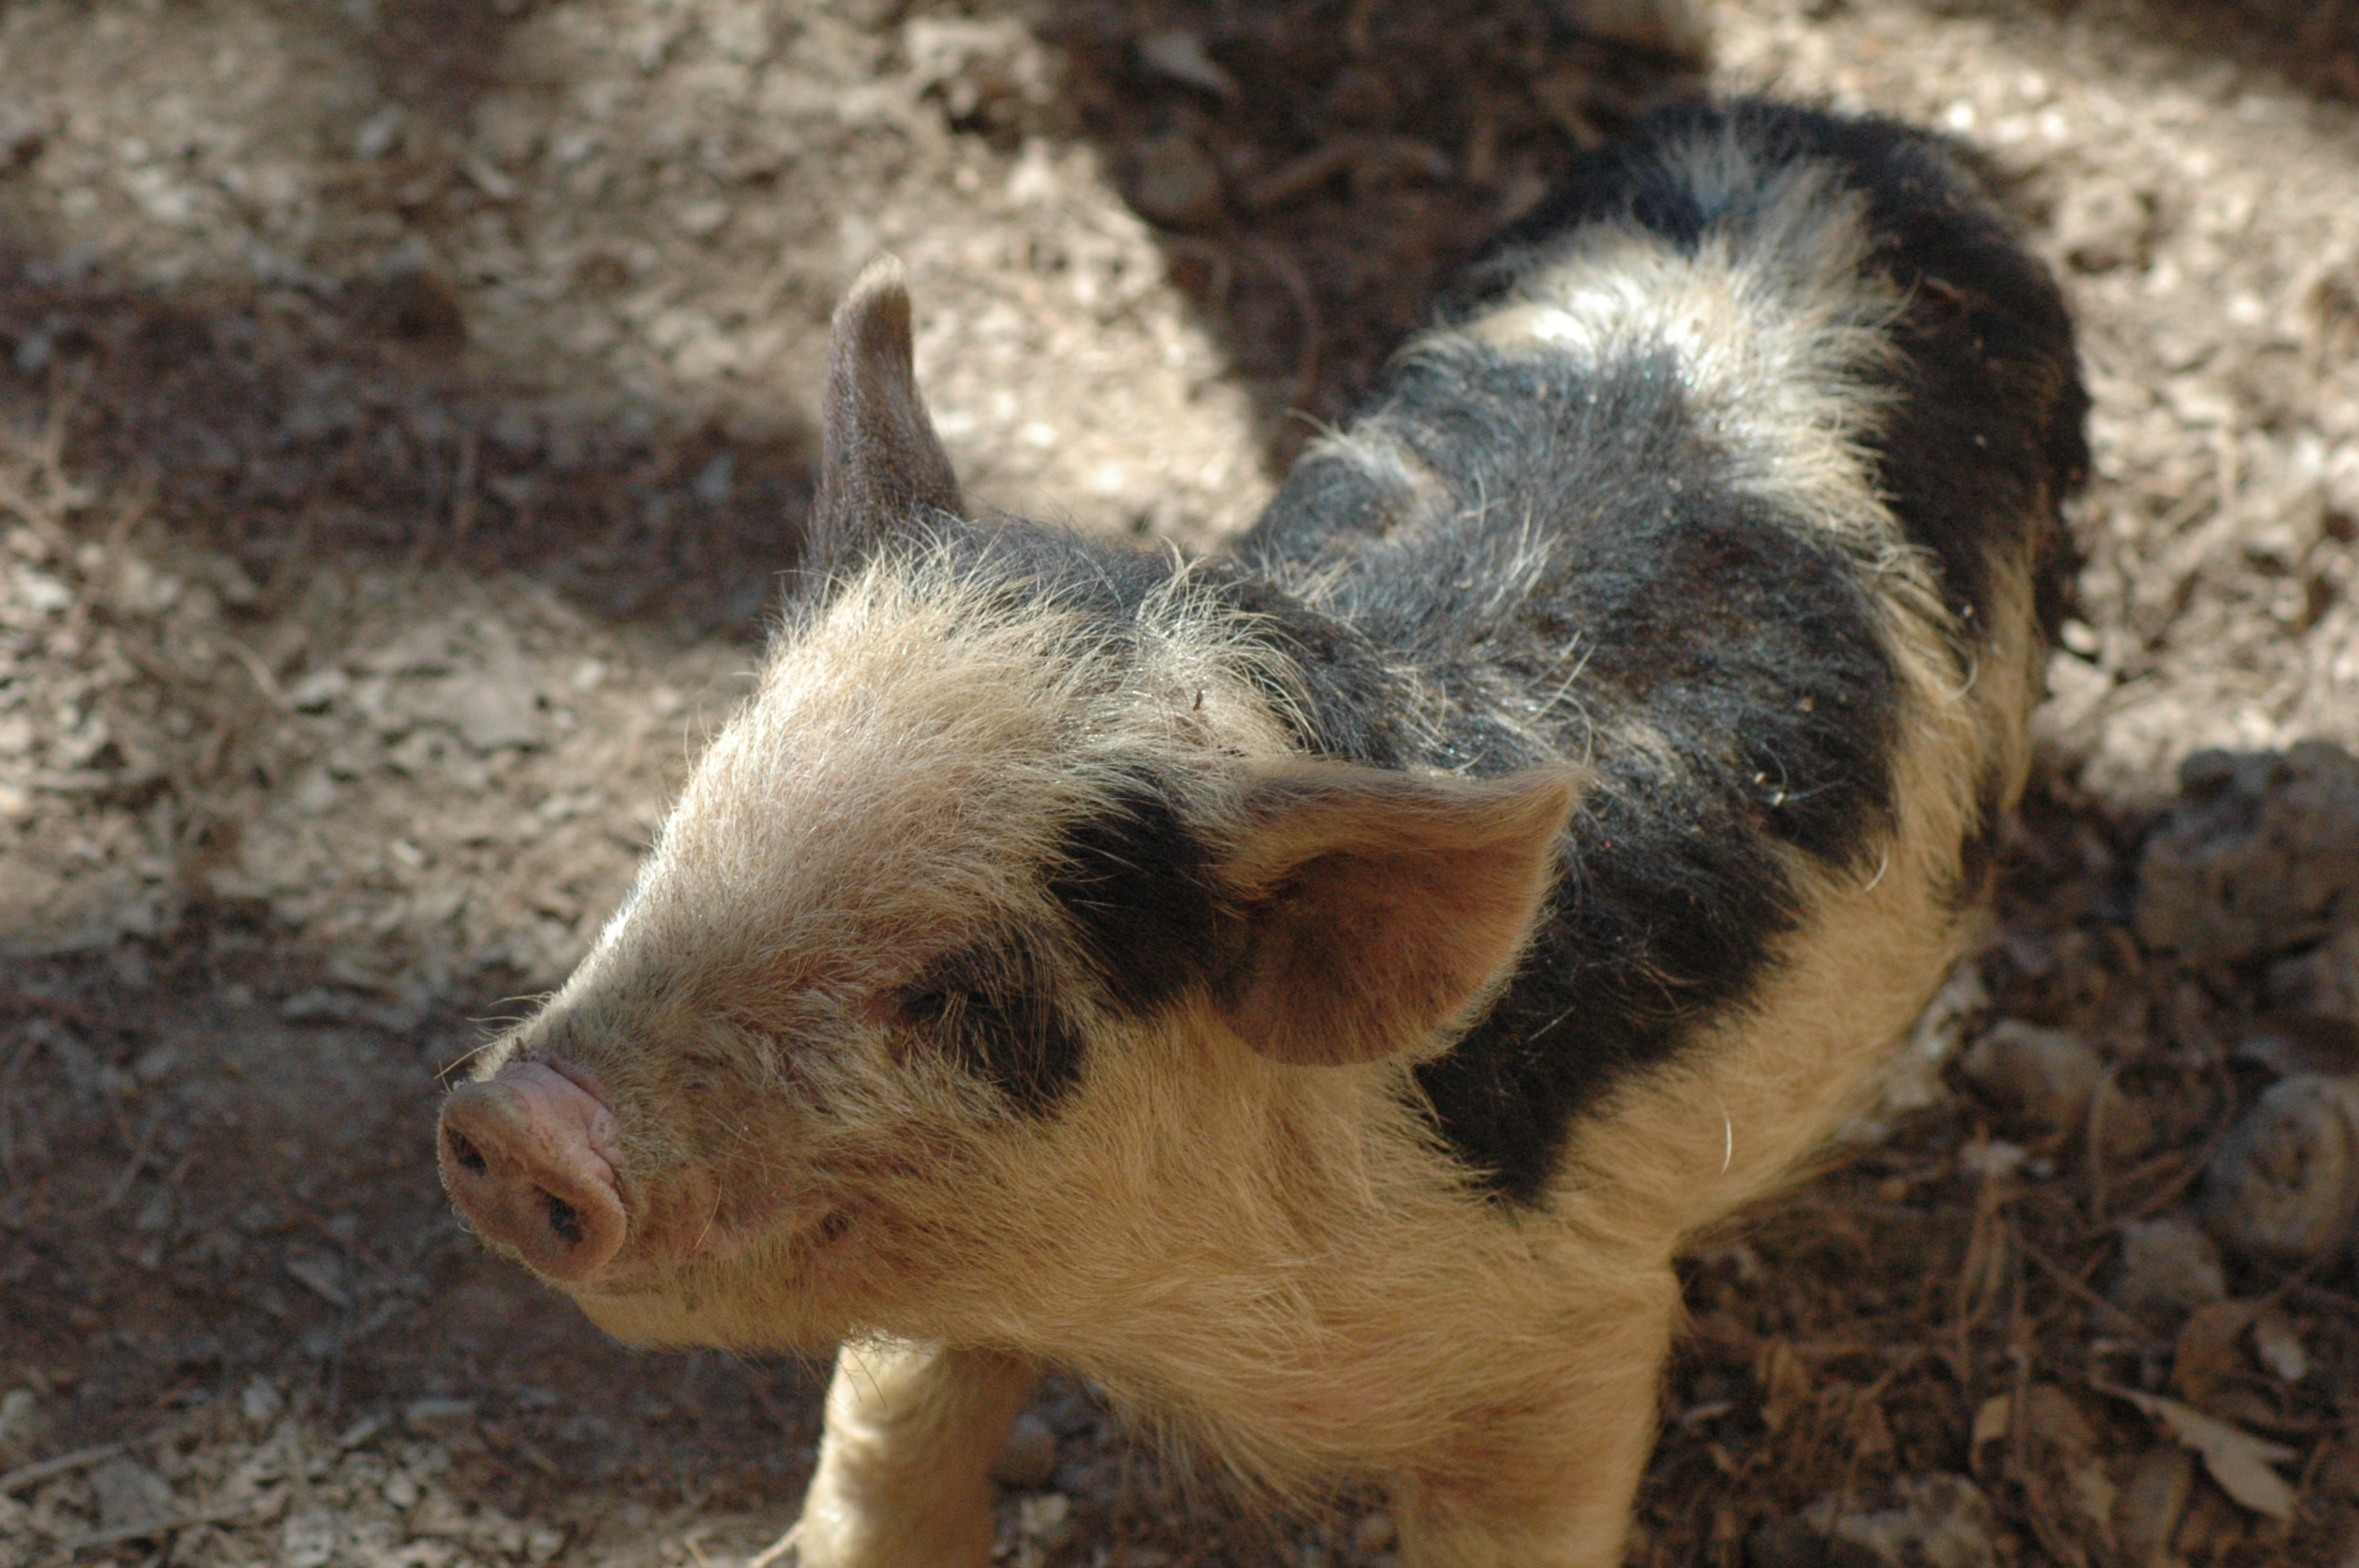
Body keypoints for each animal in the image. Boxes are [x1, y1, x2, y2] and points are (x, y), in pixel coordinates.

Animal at [438, 97, 2086, 1568]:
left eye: (967, 993)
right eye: (692, 822)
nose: (515, 1125)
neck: (1188, 1328)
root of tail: (1841, 138)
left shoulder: (1575, 1330)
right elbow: (892, 1434)